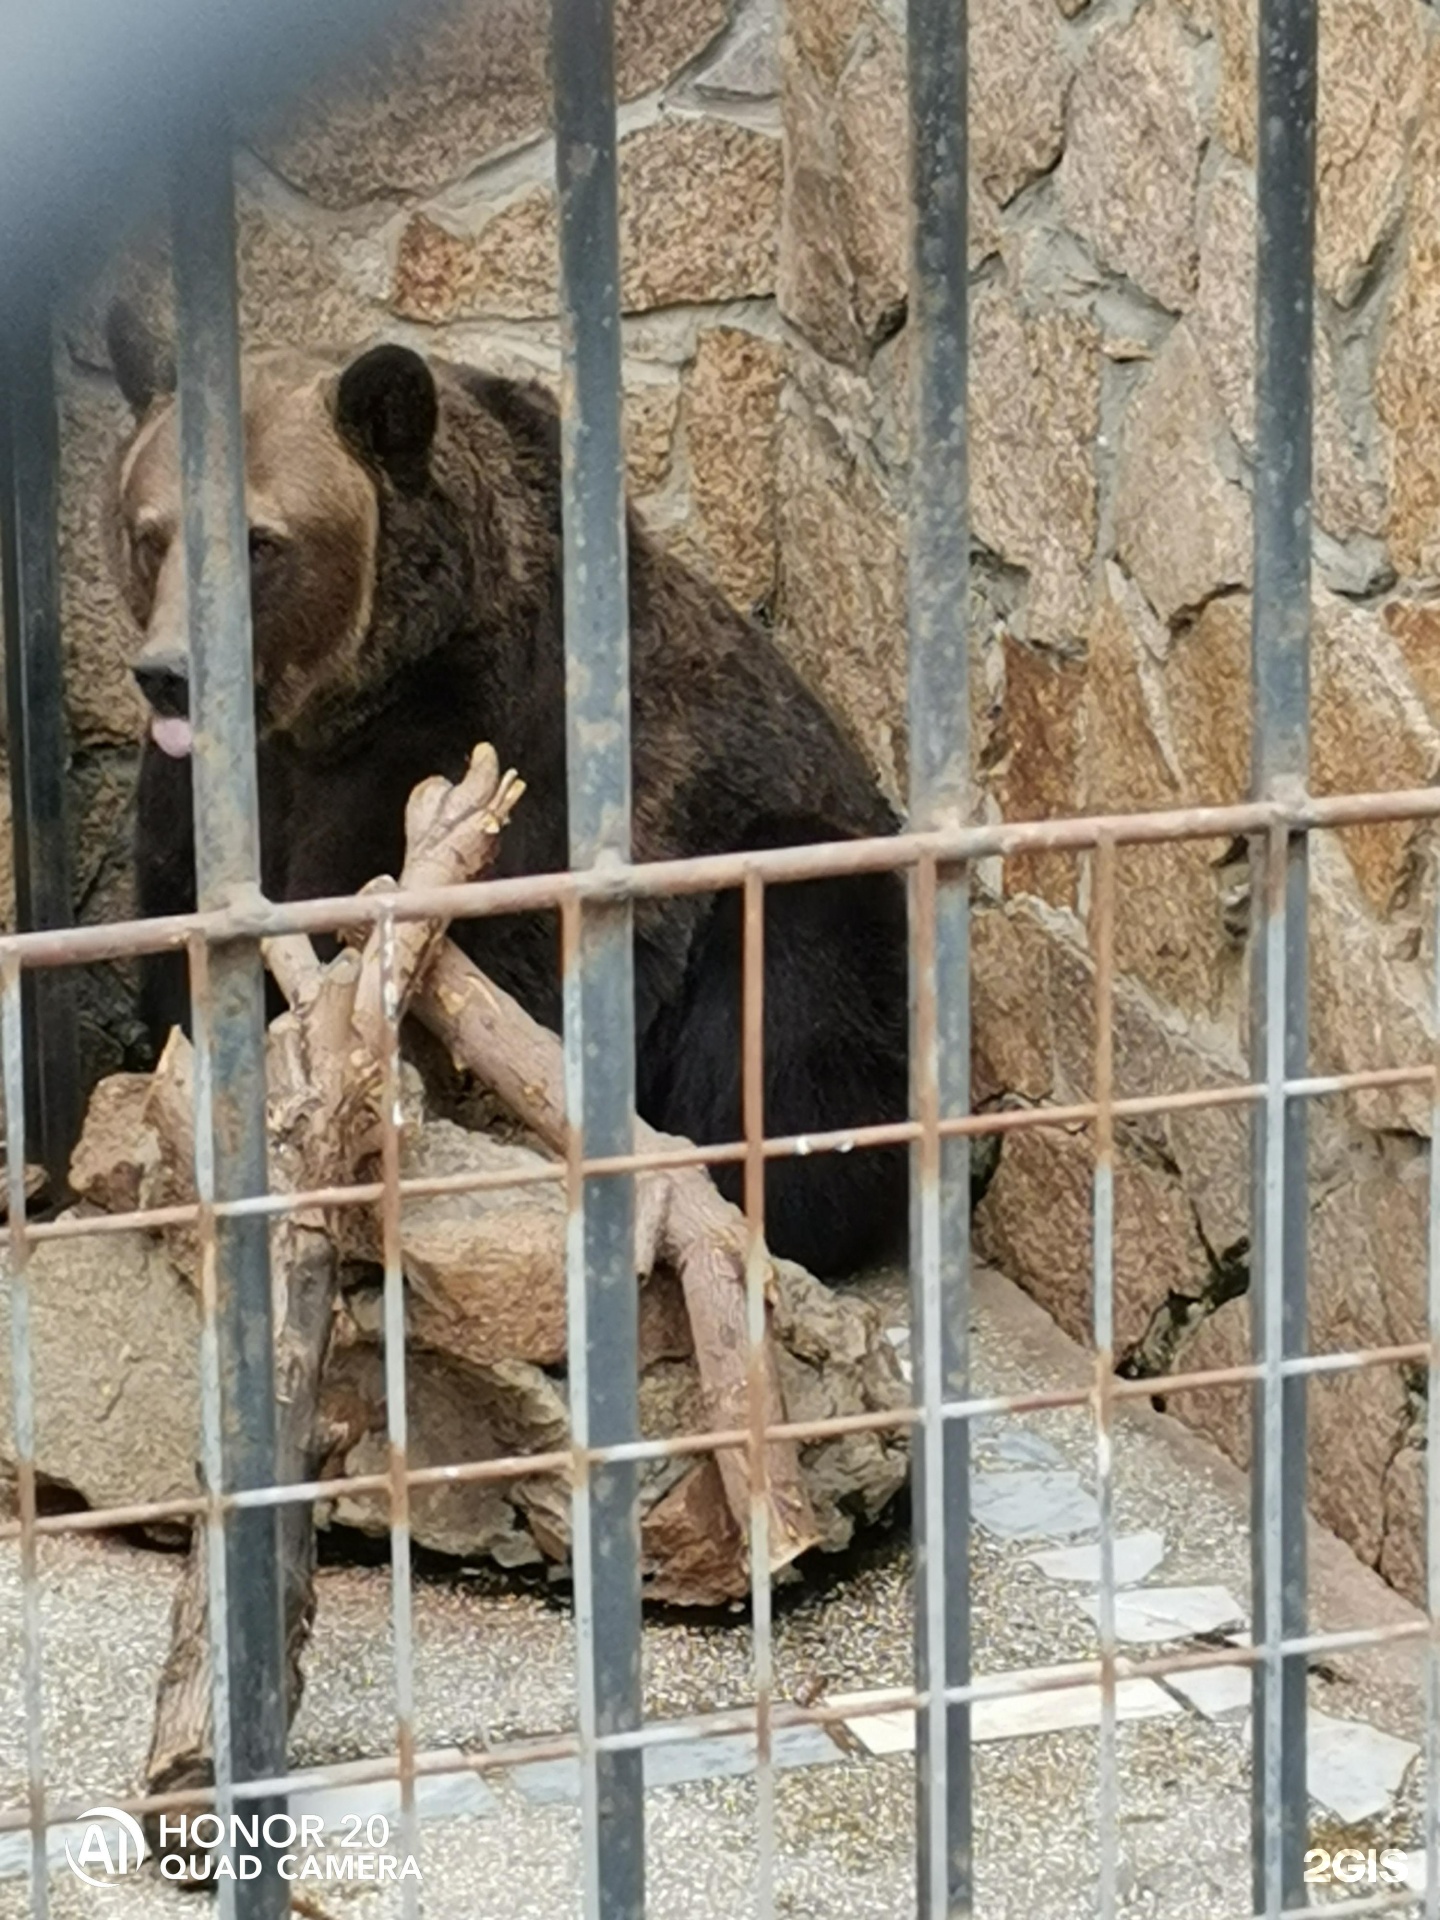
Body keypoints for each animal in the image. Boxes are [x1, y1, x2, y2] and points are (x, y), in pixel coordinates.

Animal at [107, 311, 913, 1274]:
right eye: (151, 534)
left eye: (263, 544)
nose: (169, 675)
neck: (328, 714)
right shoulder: (211, 787)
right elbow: (182, 936)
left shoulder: (463, 753)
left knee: (806, 951)